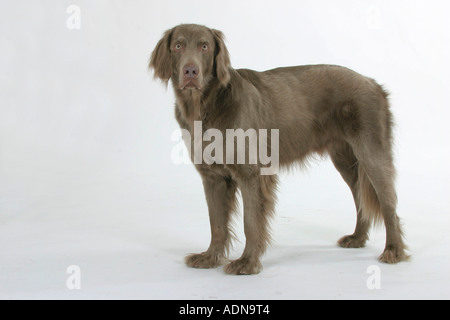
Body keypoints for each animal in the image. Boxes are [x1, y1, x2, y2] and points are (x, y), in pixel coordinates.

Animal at [149, 23, 410, 274]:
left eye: (204, 46)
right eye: (178, 46)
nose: (190, 71)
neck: (206, 105)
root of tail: (372, 82)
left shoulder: (250, 173)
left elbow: (250, 221)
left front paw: (247, 263)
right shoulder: (212, 176)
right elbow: (217, 223)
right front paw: (210, 257)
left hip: (371, 151)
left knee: (388, 202)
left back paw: (393, 251)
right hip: (345, 158)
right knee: (360, 198)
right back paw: (357, 238)